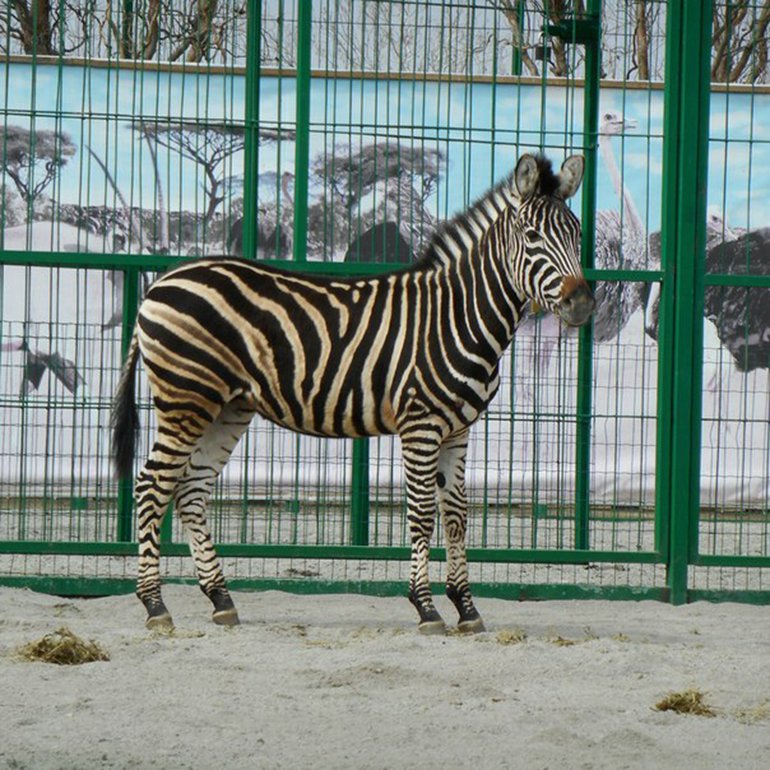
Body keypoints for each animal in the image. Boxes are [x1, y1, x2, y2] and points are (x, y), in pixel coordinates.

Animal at [112, 153, 592, 632]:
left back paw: (220, 599)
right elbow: (422, 513)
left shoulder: (458, 429)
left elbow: (456, 515)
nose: (581, 303)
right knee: (152, 485)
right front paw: (426, 607)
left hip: (226, 407)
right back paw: (155, 604)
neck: (458, 315)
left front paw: (467, 608)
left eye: (577, 234)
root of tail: (160, 283)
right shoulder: (420, 424)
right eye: (532, 236)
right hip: (186, 401)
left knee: (191, 489)